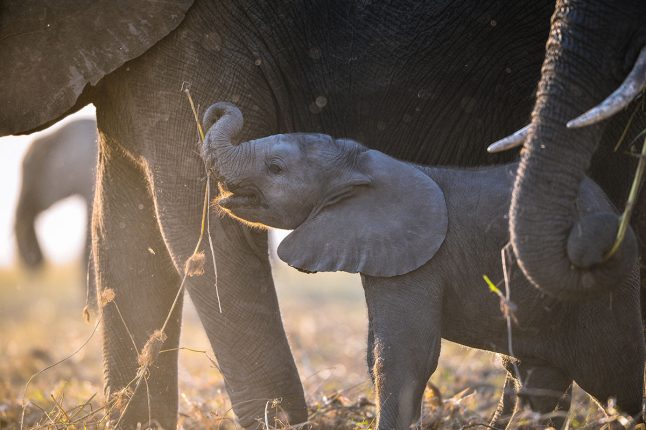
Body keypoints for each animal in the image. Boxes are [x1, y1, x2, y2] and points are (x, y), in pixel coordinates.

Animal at [200, 102, 644, 428]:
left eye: (275, 168)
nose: (218, 108)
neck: (360, 163)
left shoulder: (422, 260)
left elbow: (406, 356)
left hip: (601, 301)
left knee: (614, 379)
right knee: (541, 384)